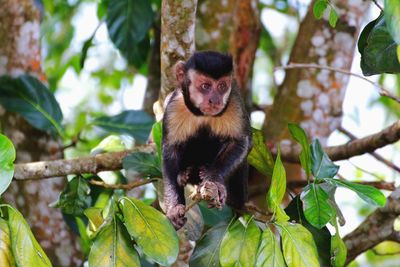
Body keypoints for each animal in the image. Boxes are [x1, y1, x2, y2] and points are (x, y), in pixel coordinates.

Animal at [162, 50, 250, 230]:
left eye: (222, 86)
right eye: (205, 86)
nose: (215, 100)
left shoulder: (234, 102)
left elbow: (238, 141)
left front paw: (215, 182)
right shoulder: (175, 105)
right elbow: (170, 149)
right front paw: (174, 206)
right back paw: (186, 174)